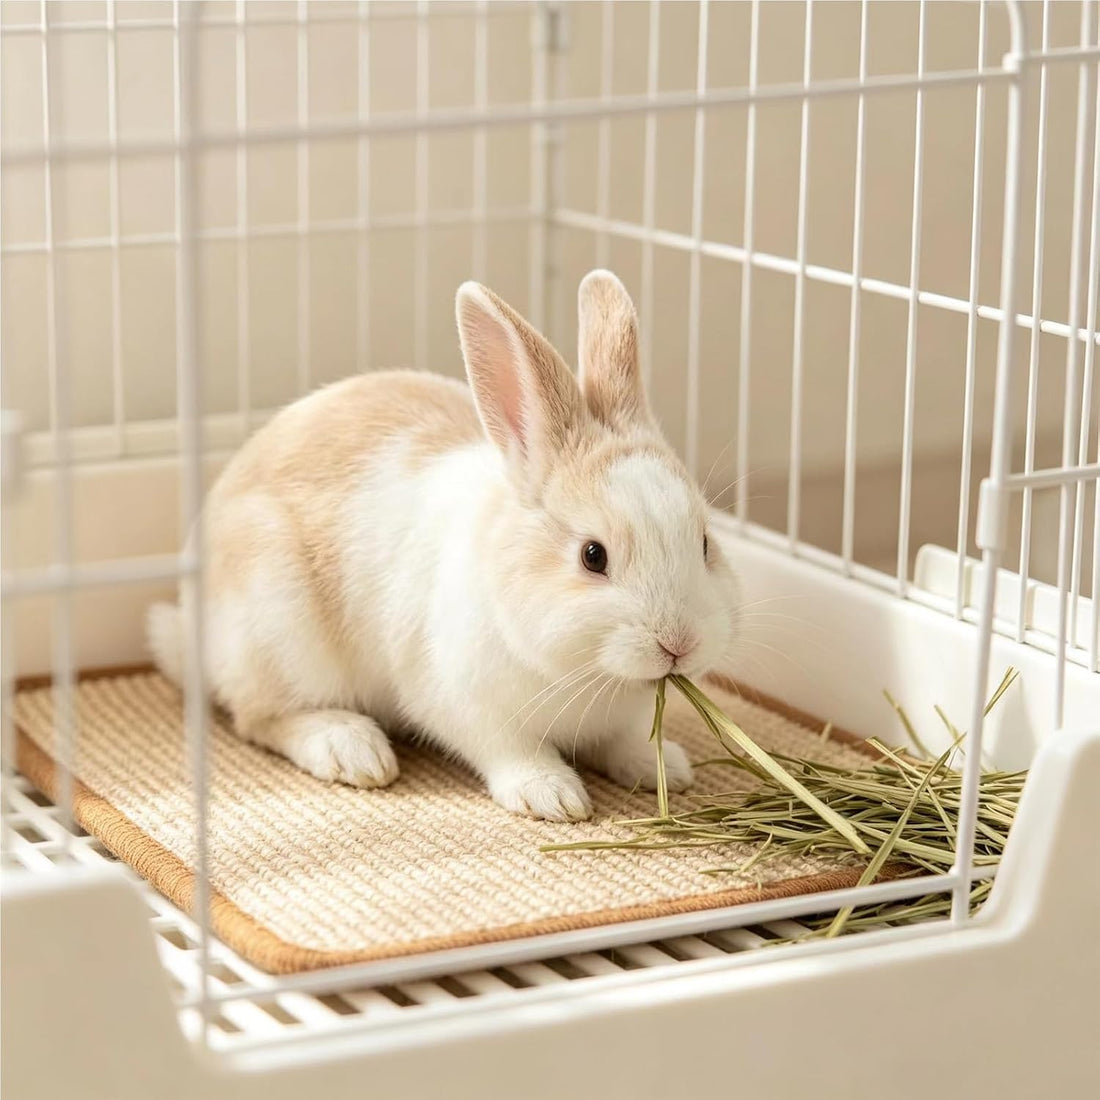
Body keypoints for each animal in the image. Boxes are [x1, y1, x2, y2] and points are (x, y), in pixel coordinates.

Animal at [147, 270, 741, 821]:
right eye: (593, 556)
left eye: (704, 542)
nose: (679, 644)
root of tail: (193, 628)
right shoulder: (464, 704)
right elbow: (509, 750)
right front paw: (553, 796)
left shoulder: (615, 722)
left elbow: (622, 743)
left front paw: (665, 767)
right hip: (280, 634)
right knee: (258, 716)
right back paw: (352, 749)